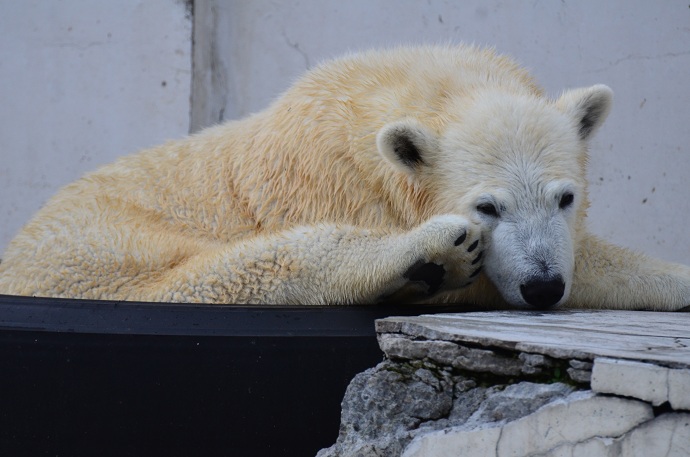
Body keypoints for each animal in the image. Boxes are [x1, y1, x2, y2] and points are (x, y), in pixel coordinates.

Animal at [1, 45, 688, 310]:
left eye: (566, 196)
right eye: (488, 207)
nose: (543, 287)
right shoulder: (338, 178)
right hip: (101, 257)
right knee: (240, 272)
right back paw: (431, 256)